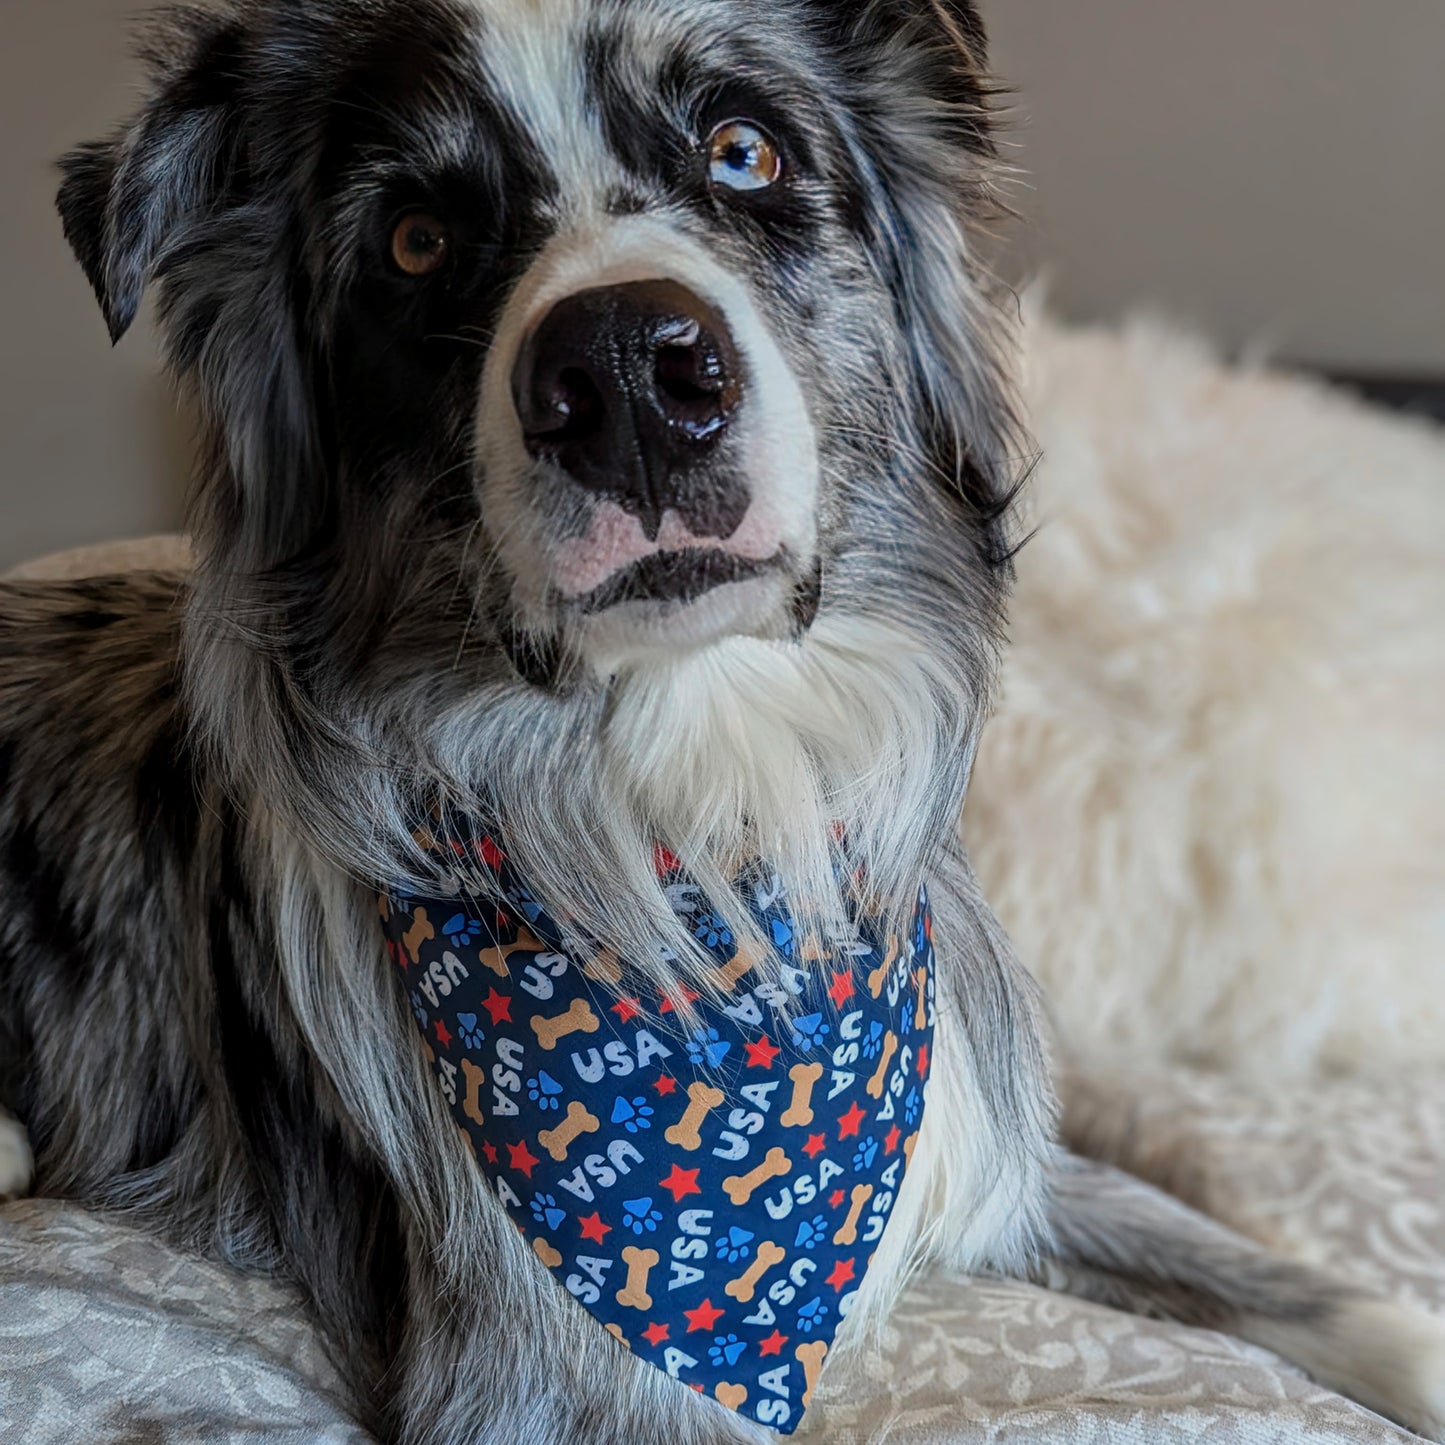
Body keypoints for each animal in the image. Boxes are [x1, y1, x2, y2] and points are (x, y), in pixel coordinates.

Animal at [0, 0, 1439, 1439]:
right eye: (416, 240)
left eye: (744, 151)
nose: (626, 373)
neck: (718, 810)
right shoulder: (541, 1388)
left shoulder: (993, 1153)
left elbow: (1244, 1257)